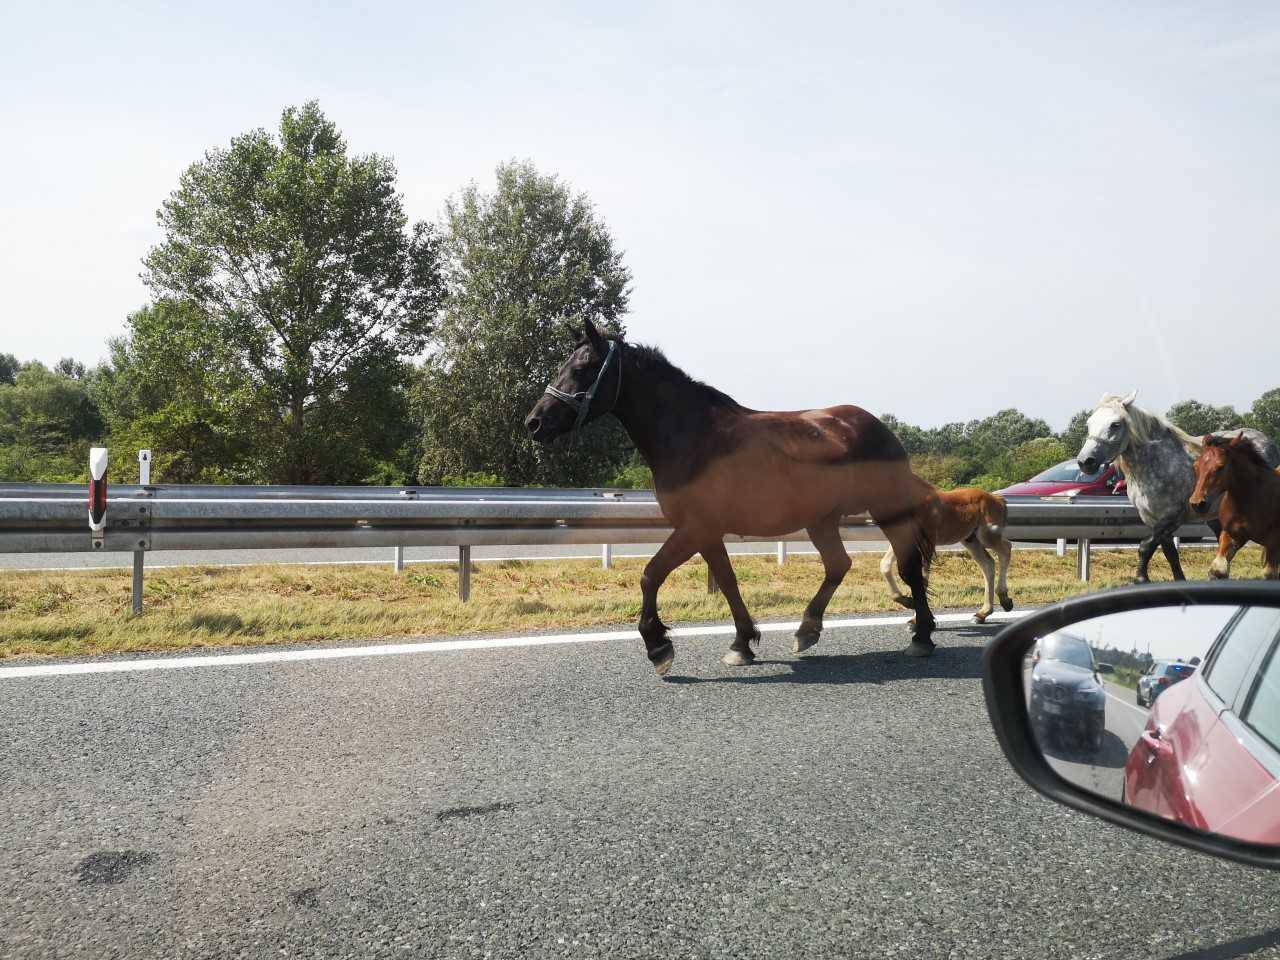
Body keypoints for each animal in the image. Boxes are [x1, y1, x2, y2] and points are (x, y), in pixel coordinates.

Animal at [524, 321, 936, 675]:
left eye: (585, 367)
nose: (535, 422)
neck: (693, 437)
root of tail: (881, 428)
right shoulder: (706, 532)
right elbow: (727, 581)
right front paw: (741, 644)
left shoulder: (694, 528)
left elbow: (651, 574)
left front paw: (658, 646)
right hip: (821, 519)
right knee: (839, 564)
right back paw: (808, 629)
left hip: (888, 511)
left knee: (908, 566)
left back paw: (922, 635)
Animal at [880, 488, 1008, 624]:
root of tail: (998, 499)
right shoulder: (902, 541)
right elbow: (885, 565)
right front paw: (907, 602)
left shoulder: (926, 544)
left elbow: (923, 579)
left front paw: (916, 620)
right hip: (970, 540)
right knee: (988, 564)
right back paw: (982, 614)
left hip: (986, 535)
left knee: (1006, 548)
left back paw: (1004, 599)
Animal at [1187, 435, 1280, 583]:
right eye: (1196, 466)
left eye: (1220, 467)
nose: (1197, 503)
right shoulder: (1232, 534)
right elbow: (1218, 570)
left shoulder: (1274, 541)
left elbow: (1270, 575)